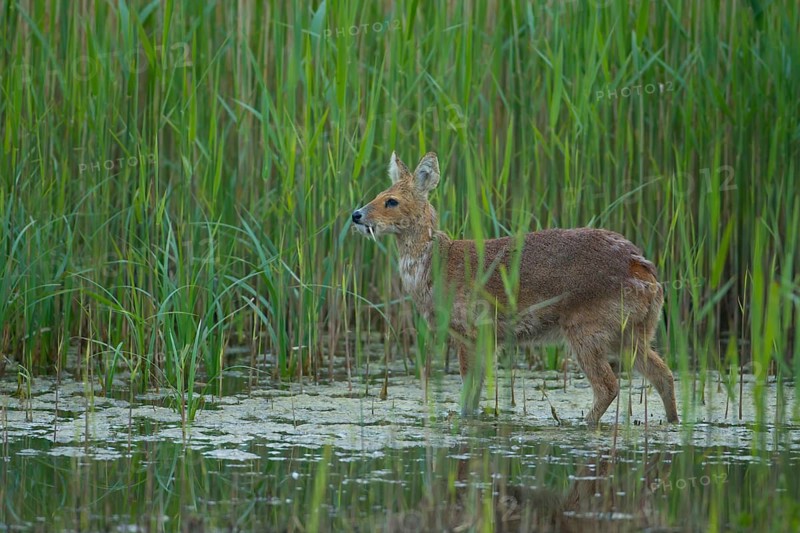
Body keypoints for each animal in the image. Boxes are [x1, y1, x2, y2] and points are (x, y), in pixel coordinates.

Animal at [351, 151, 679, 427]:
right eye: (377, 195)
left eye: (391, 200)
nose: (356, 214)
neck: (435, 266)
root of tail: (645, 272)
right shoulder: (489, 338)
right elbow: (476, 393)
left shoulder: (471, 330)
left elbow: (468, 391)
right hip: (632, 333)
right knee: (665, 374)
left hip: (587, 329)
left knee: (609, 385)